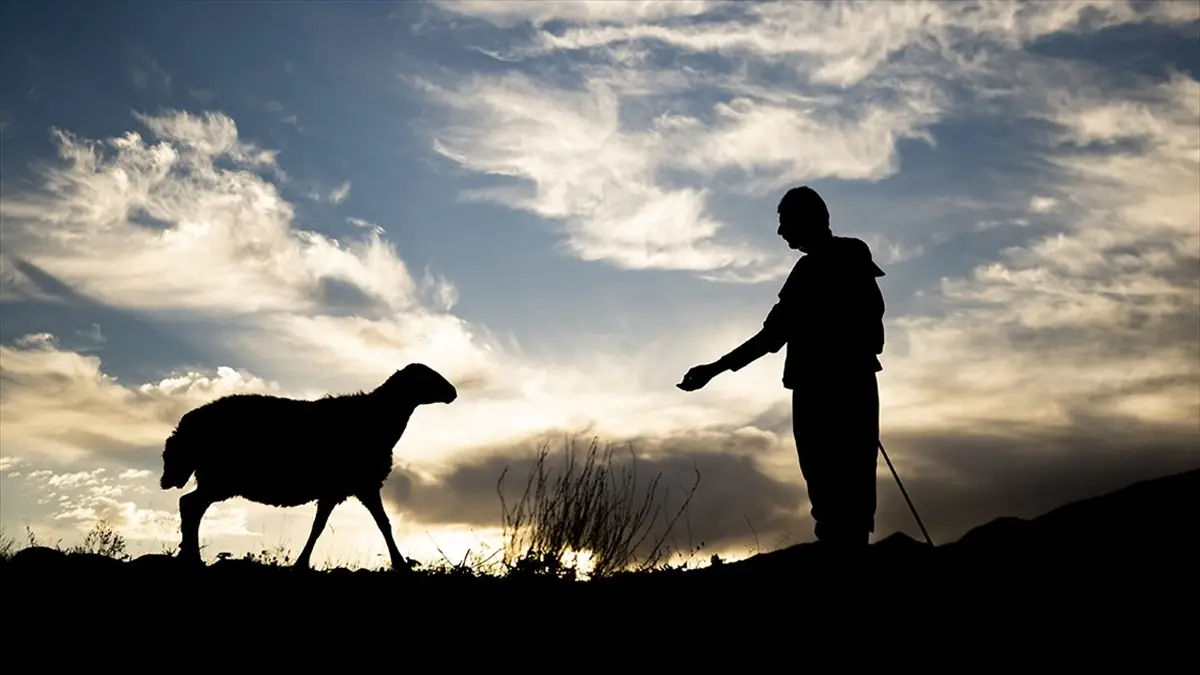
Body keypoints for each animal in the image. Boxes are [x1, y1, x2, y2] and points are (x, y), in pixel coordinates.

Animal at [158, 362, 453, 566]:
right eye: (428, 377)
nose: (453, 392)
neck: (378, 418)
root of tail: (186, 426)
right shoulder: (362, 484)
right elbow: (381, 525)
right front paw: (400, 564)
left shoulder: (342, 489)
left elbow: (322, 527)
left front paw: (302, 563)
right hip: (219, 478)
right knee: (190, 505)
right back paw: (192, 558)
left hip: (214, 479)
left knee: (190, 506)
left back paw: (188, 556)